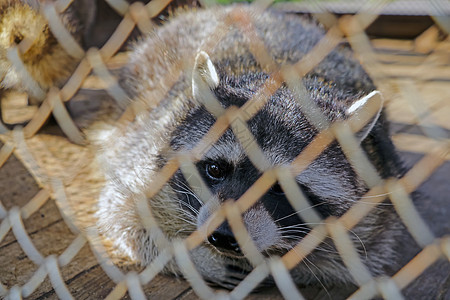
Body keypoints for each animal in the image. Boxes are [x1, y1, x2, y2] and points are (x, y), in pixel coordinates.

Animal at [95, 4, 408, 290]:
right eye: (215, 169)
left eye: (281, 186)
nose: (223, 235)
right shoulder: (152, 148)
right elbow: (123, 213)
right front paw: (193, 258)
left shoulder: (376, 207)